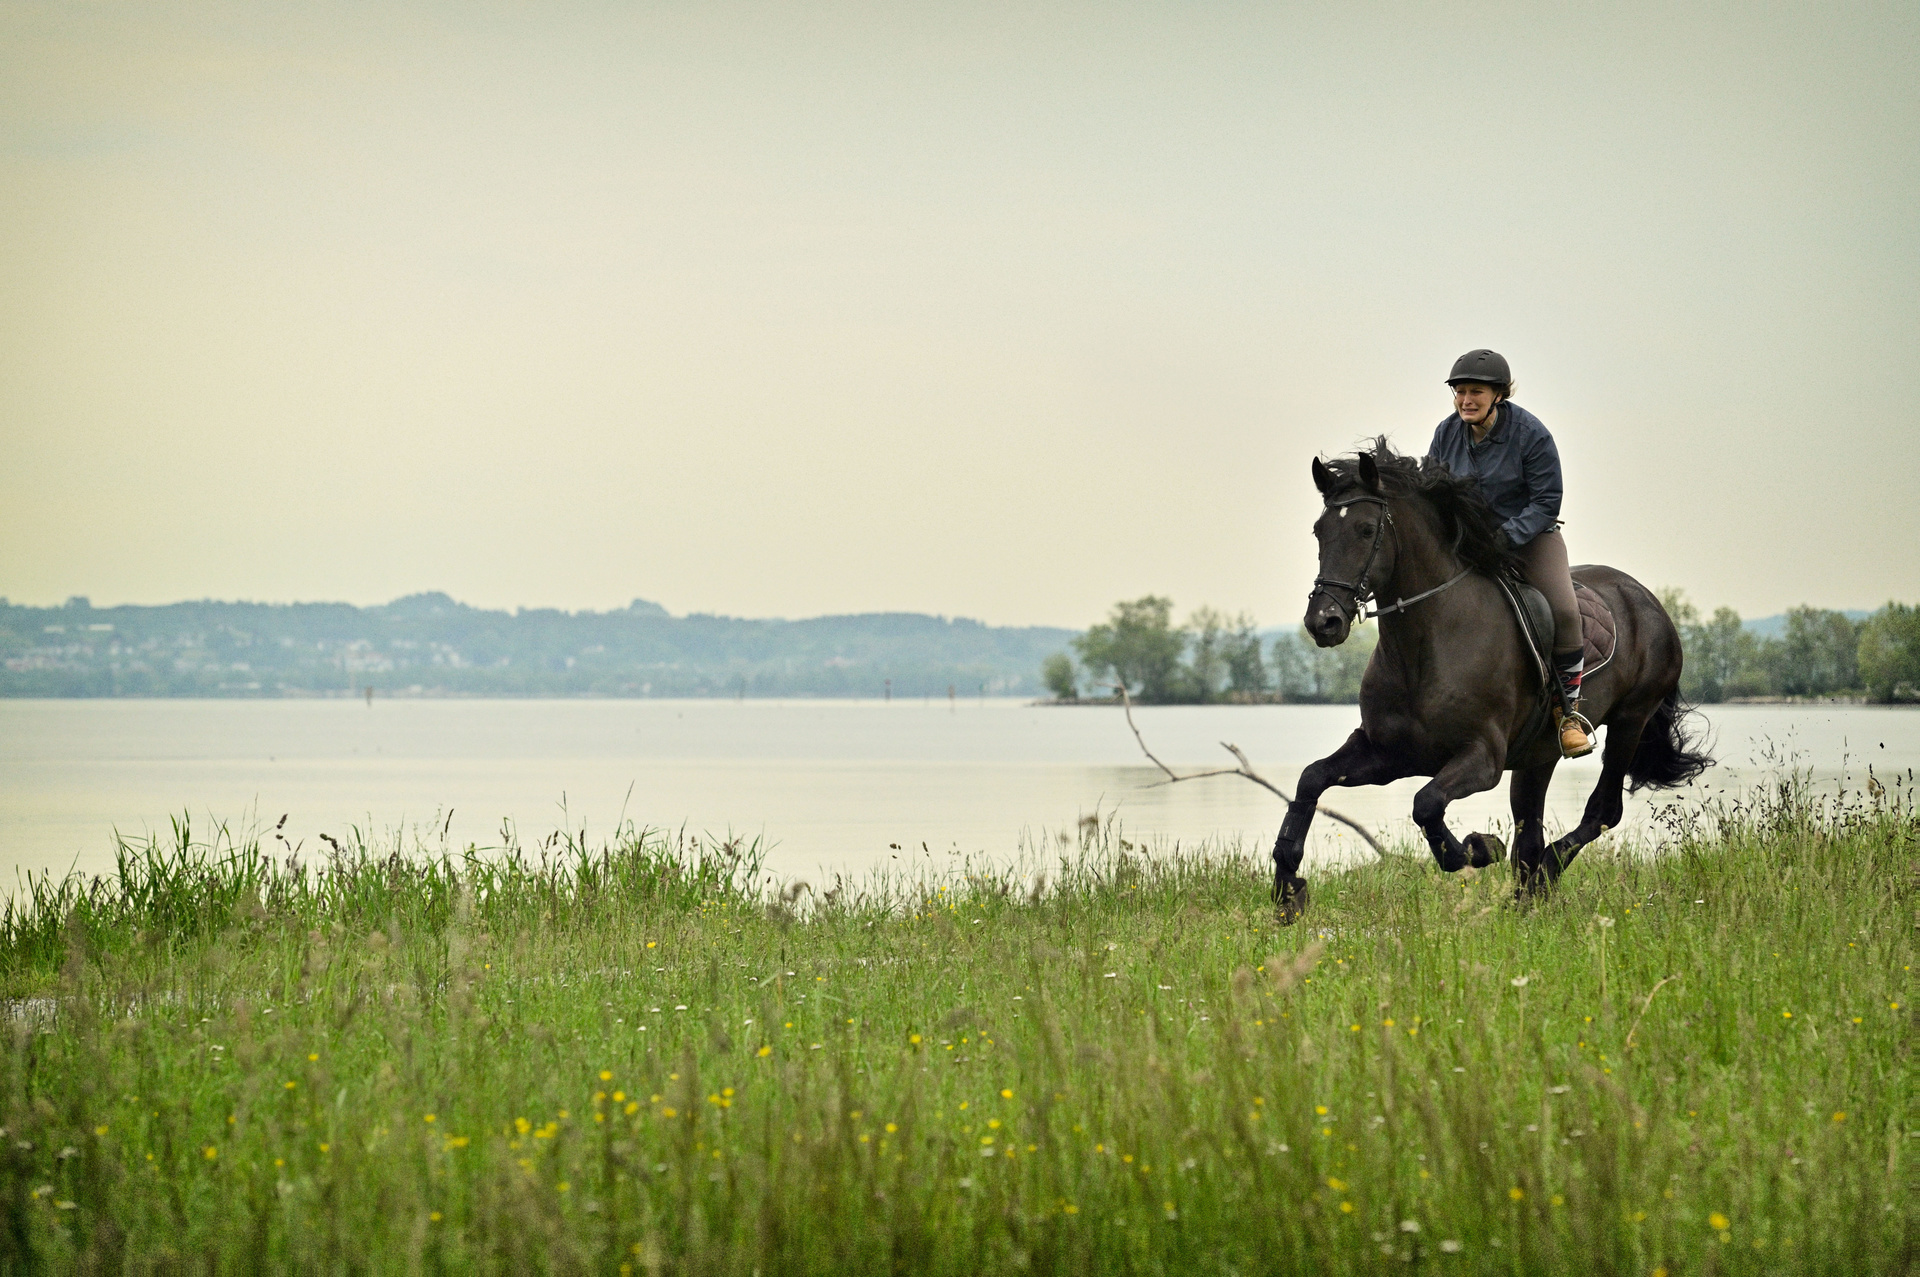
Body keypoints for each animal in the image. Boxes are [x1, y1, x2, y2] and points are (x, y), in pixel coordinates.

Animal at [1270, 439, 1712, 920]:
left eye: (1367, 530)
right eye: (1319, 531)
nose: (1323, 621)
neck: (1425, 645)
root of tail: (1647, 599)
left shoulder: (1481, 758)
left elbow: (1426, 805)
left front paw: (1479, 847)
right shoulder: (1388, 753)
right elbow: (1311, 779)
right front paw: (1288, 887)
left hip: (1631, 720)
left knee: (1601, 811)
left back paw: (1544, 874)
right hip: (1538, 754)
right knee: (1530, 828)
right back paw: (1525, 899)